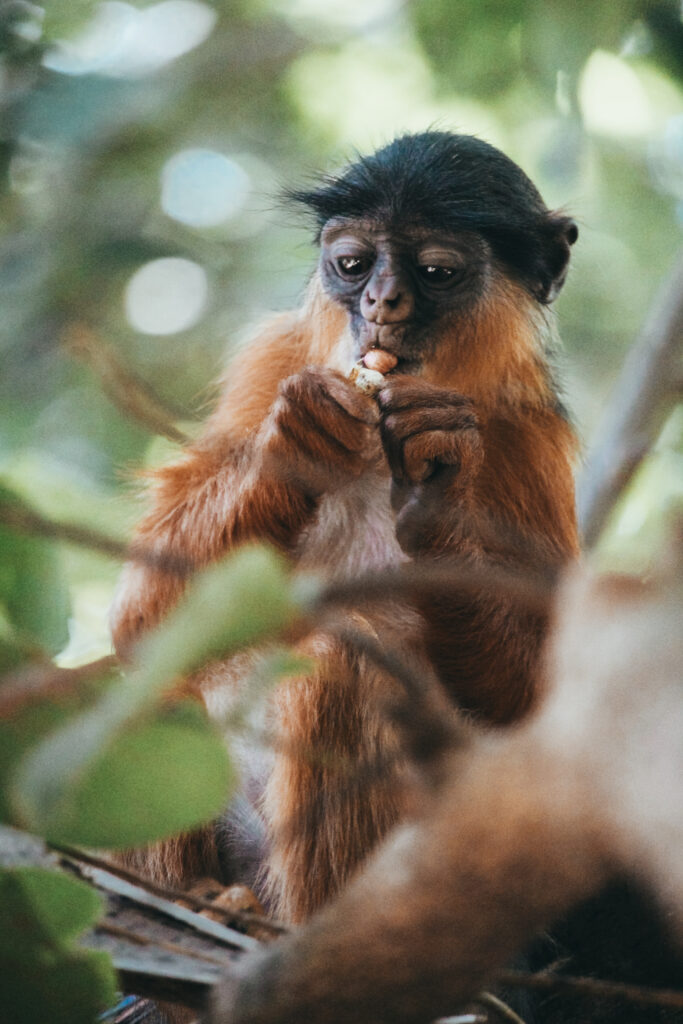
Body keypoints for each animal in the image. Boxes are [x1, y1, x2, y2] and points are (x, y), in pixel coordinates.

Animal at [111, 131, 580, 925]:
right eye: (354, 263)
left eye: (435, 271)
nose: (381, 302)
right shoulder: (274, 356)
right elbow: (138, 616)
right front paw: (297, 443)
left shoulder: (532, 441)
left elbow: (542, 719)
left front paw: (439, 486)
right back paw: (197, 895)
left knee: (339, 659)